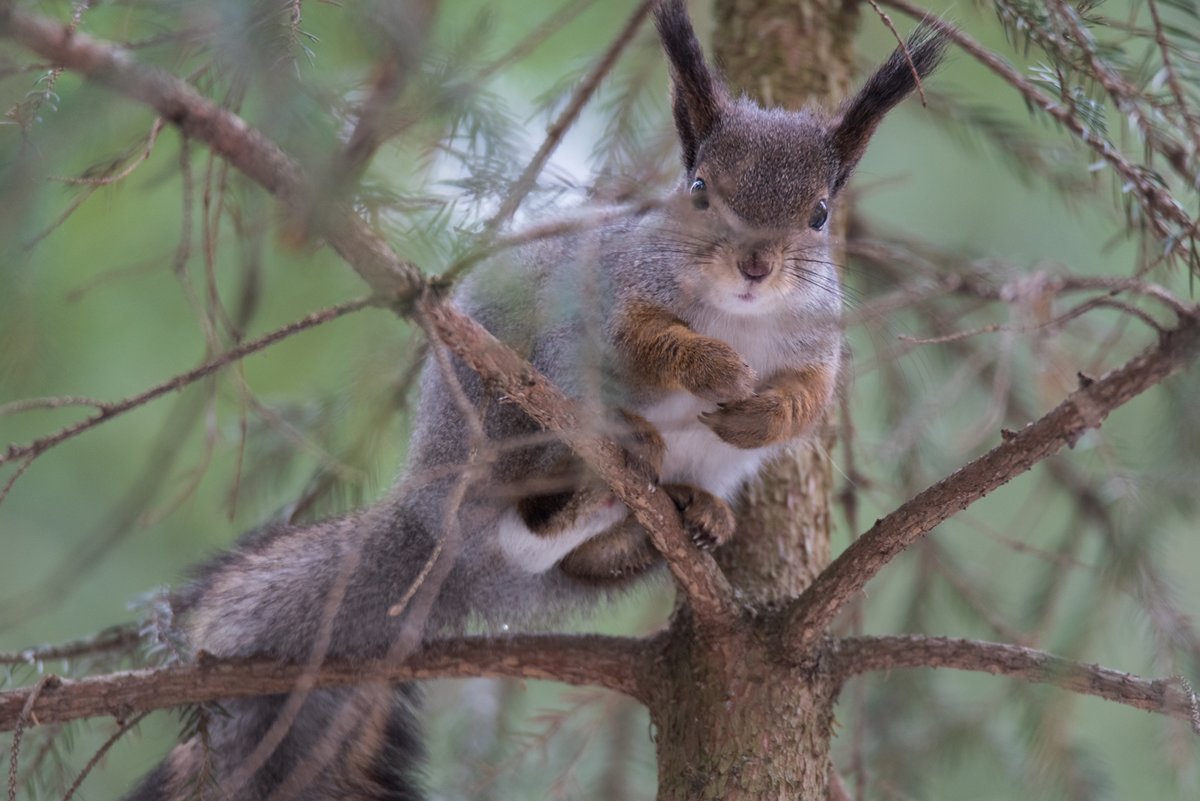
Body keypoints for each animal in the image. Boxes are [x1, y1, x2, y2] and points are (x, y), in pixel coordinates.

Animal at [121, 3, 945, 796]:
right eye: (699, 190)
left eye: (820, 213)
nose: (755, 264)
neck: (738, 315)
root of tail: (440, 523)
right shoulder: (607, 299)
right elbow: (647, 343)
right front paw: (708, 366)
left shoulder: (817, 346)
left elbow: (809, 398)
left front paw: (761, 413)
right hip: (498, 412)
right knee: (530, 504)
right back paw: (618, 455)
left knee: (569, 551)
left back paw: (682, 513)